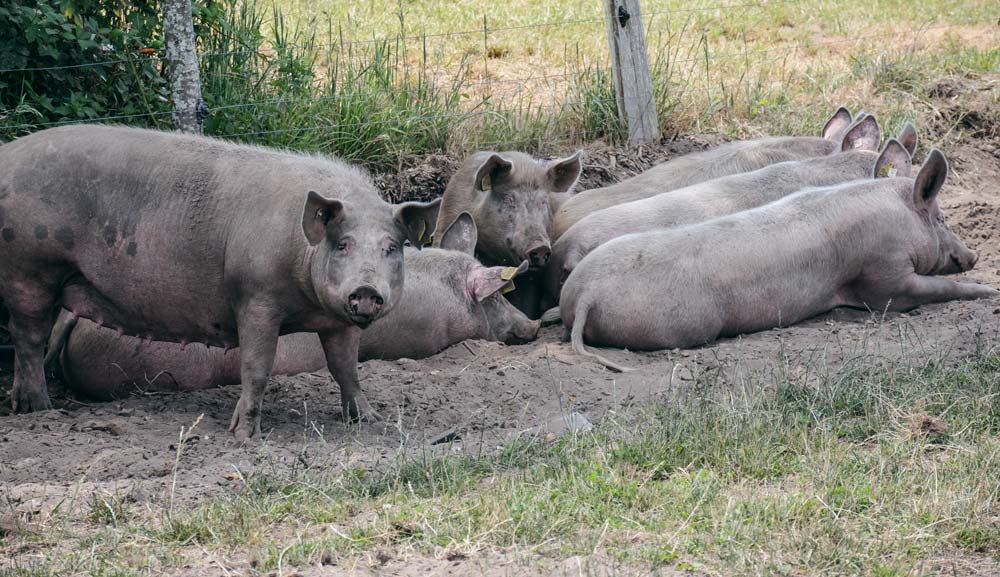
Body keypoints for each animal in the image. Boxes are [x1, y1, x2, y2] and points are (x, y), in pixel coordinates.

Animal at [0, 126, 438, 438]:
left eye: (392, 248)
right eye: (343, 244)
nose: (365, 290)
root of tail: (7, 154)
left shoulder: (337, 322)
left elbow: (346, 369)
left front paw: (369, 420)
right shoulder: (256, 298)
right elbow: (256, 366)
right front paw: (244, 435)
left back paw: (28, 406)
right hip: (27, 269)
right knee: (28, 338)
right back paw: (41, 410)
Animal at [564, 146, 992, 372]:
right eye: (941, 218)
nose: (973, 254)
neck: (900, 218)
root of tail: (585, 294)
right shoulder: (884, 273)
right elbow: (924, 290)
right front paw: (988, 292)